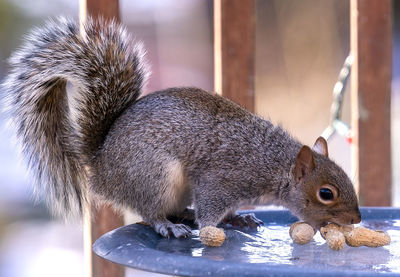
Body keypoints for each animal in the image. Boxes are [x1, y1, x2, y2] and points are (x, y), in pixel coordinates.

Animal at [0, 17, 362, 237]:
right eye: (326, 193)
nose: (357, 220)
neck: (273, 164)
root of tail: (100, 168)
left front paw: (238, 217)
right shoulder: (222, 179)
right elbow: (210, 208)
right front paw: (213, 227)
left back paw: (186, 215)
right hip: (155, 175)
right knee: (150, 210)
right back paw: (168, 226)